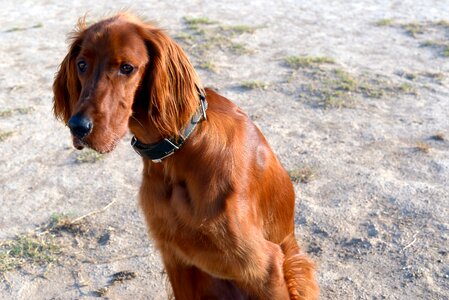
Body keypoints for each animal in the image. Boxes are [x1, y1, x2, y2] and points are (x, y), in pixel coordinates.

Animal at [53, 12, 318, 298]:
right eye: (81, 64)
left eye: (127, 68)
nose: (78, 127)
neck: (181, 149)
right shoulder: (176, 258)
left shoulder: (265, 266)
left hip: (297, 268)